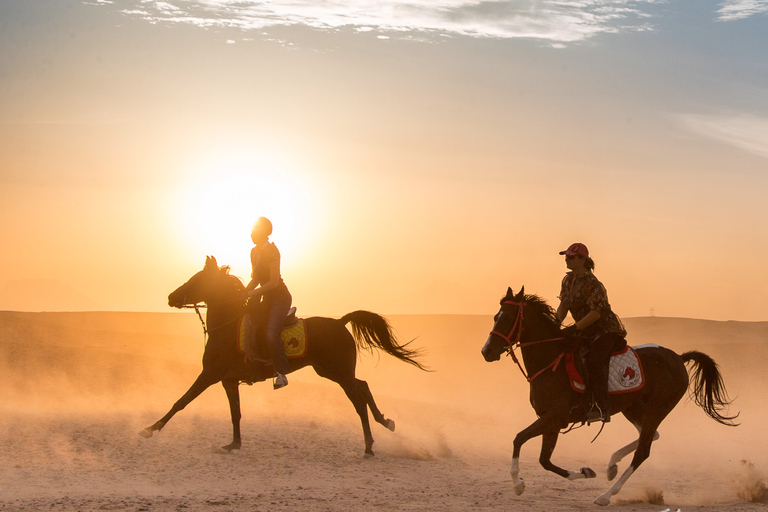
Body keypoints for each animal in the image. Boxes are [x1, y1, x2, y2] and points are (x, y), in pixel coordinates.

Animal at [138, 256, 426, 456]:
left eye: (197, 279)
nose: (171, 297)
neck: (227, 326)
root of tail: (340, 322)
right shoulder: (228, 380)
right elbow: (235, 413)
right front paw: (233, 444)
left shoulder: (209, 374)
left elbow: (181, 401)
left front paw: (150, 429)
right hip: (333, 372)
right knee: (363, 388)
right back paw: (384, 423)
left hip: (338, 373)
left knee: (358, 399)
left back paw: (369, 444)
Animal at [480, 286, 736, 506]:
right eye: (495, 317)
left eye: (507, 318)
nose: (486, 351)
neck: (552, 360)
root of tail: (678, 358)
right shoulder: (551, 421)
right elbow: (544, 460)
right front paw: (585, 472)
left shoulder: (554, 417)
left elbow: (519, 439)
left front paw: (517, 485)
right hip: (632, 407)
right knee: (650, 436)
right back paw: (612, 466)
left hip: (657, 409)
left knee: (643, 451)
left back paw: (606, 495)